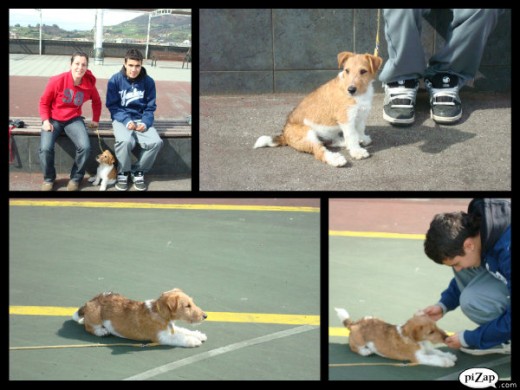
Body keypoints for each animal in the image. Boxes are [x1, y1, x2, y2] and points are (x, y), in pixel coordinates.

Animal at [73, 286, 207, 348]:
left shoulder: (170, 329)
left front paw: (199, 335)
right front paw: (193, 341)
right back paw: (102, 331)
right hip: (95, 314)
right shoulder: (161, 337)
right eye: (187, 306)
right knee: (88, 326)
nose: (205, 316)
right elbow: (180, 337)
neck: (159, 313)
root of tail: (91, 301)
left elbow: (184, 331)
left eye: (192, 302)